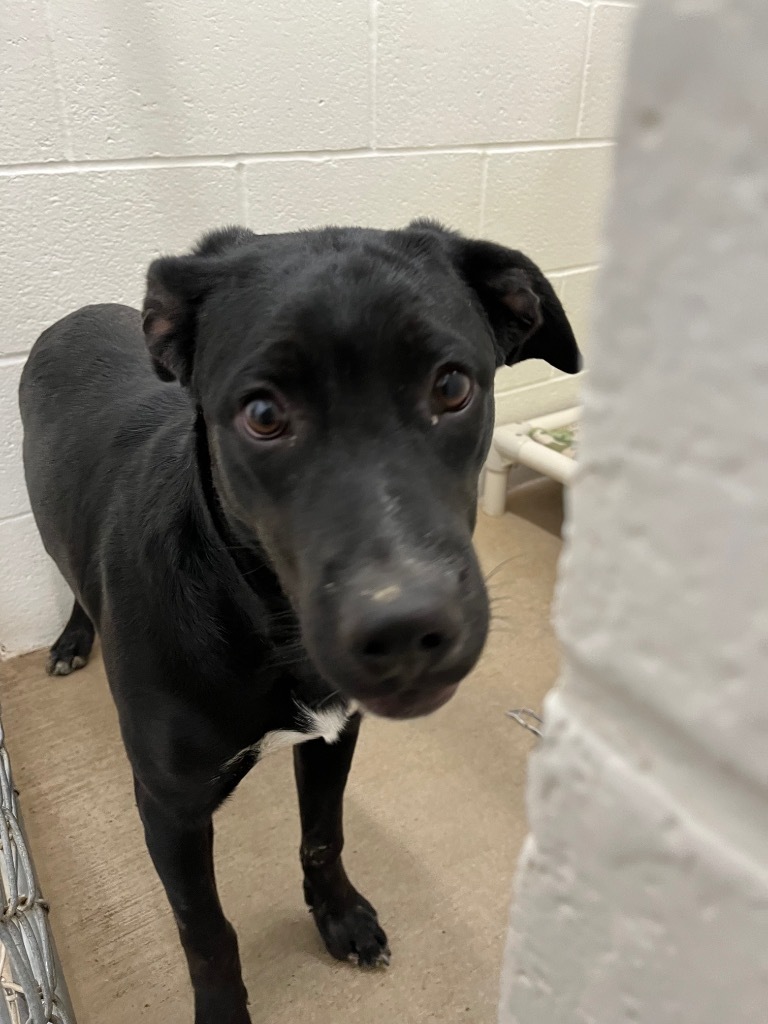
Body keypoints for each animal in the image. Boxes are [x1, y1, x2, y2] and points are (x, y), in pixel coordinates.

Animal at [18, 220, 577, 1019]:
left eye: (451, 386)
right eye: (262, 414)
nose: (407, 631)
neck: (255, 614)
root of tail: (77, 314)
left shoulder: (334, 734)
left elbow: (323, 838)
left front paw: (338, 915)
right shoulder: (169, 808)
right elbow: (205, 930)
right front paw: (224, 1009)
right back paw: (71, 638)